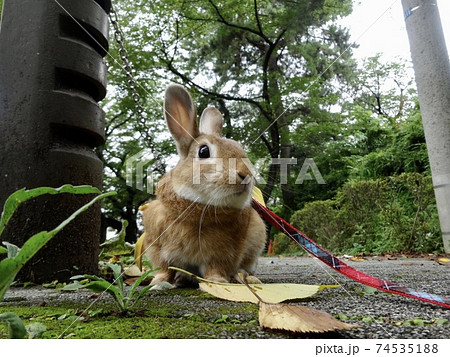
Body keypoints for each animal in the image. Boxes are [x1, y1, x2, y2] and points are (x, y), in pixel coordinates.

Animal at [142, 83, 266, 286]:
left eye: (239, 147)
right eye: (204, 151)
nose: (246, 175)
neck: (196, 209)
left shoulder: (224, 253)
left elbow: (216, 269)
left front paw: (218, 282)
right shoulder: (158, 248)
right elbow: (163, 269)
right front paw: (158, 284)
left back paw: (246, 278)